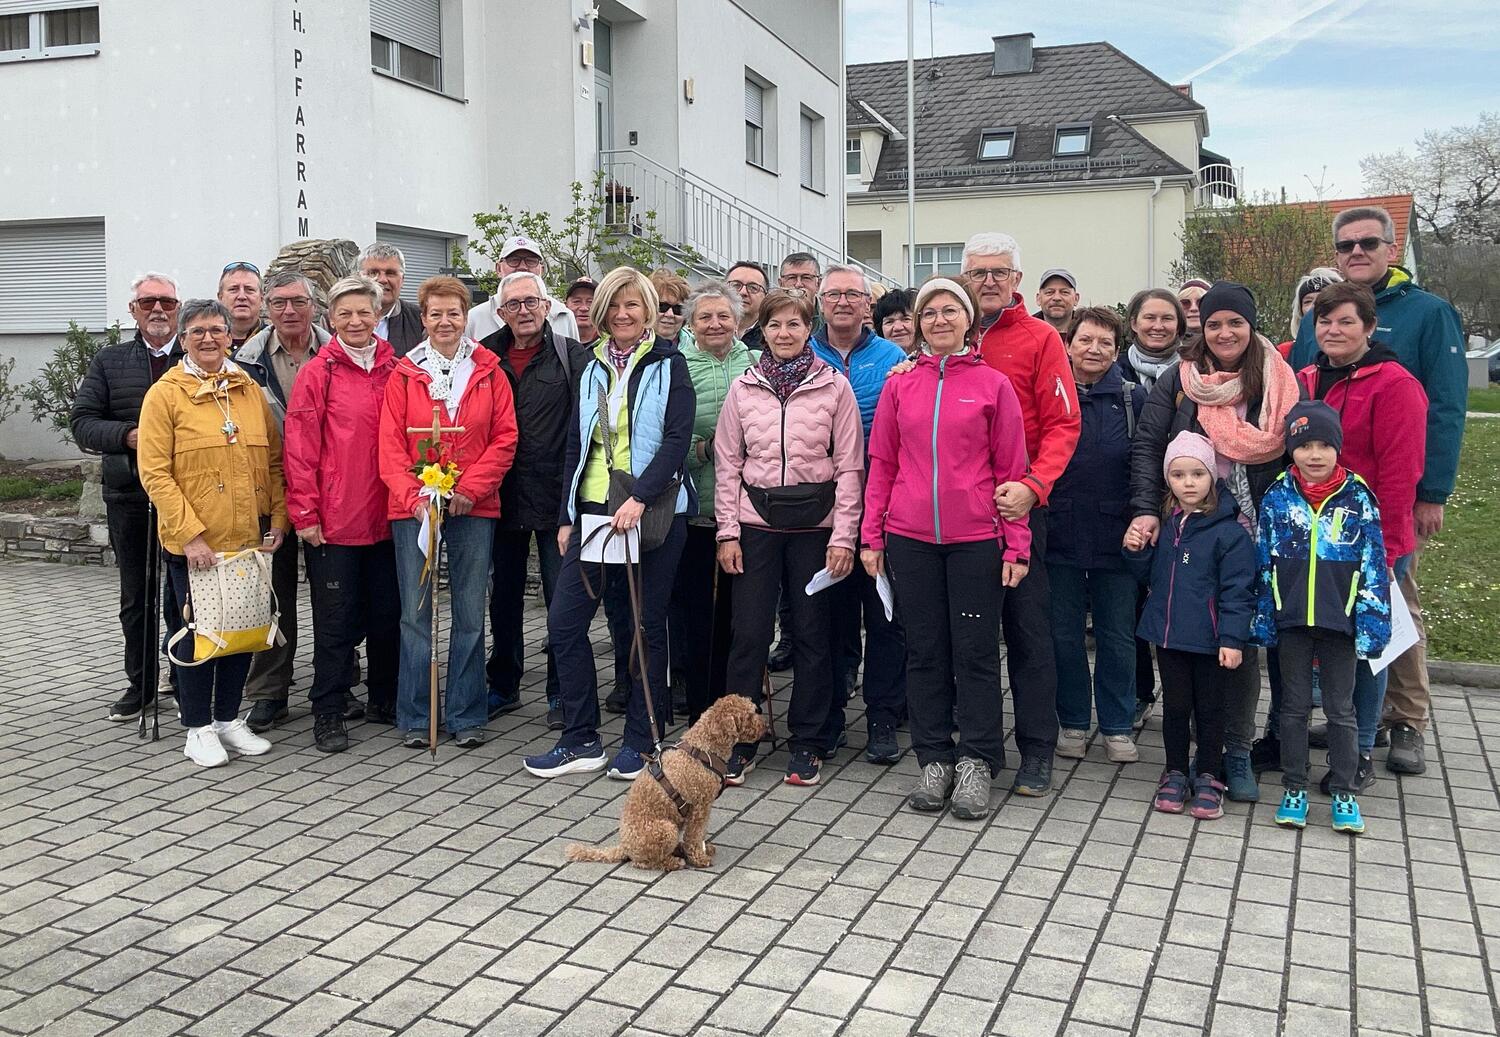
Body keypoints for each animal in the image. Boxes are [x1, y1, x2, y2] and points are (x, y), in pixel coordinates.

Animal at [566, 694, 766, 872]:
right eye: (750, 714)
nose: (765, 726)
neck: (704, 745)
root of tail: (624, 847)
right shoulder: (700, 807)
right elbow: (695, 835)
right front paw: (699, 858)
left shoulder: (704, 808)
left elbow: (699, 834)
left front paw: (702, 849)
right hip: (666, 829)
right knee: (645, 862)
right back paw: (673, 862)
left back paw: (679, 851)